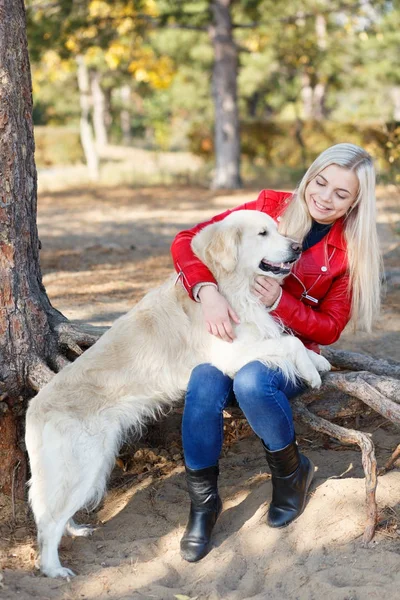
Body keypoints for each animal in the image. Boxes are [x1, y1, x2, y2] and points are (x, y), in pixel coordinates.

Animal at [25, 211, 332, 576]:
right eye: (262, 233)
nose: (297, 247)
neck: (227, 283)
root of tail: (34, 408)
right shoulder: (230, 352)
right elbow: (289, 343)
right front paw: (310, 371)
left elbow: (293, 340)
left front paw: (319, 360)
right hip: (83, 465)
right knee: (48, 522)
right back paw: (54, 569)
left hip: (92, 467)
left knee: (57, 514)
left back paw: (75, 530)